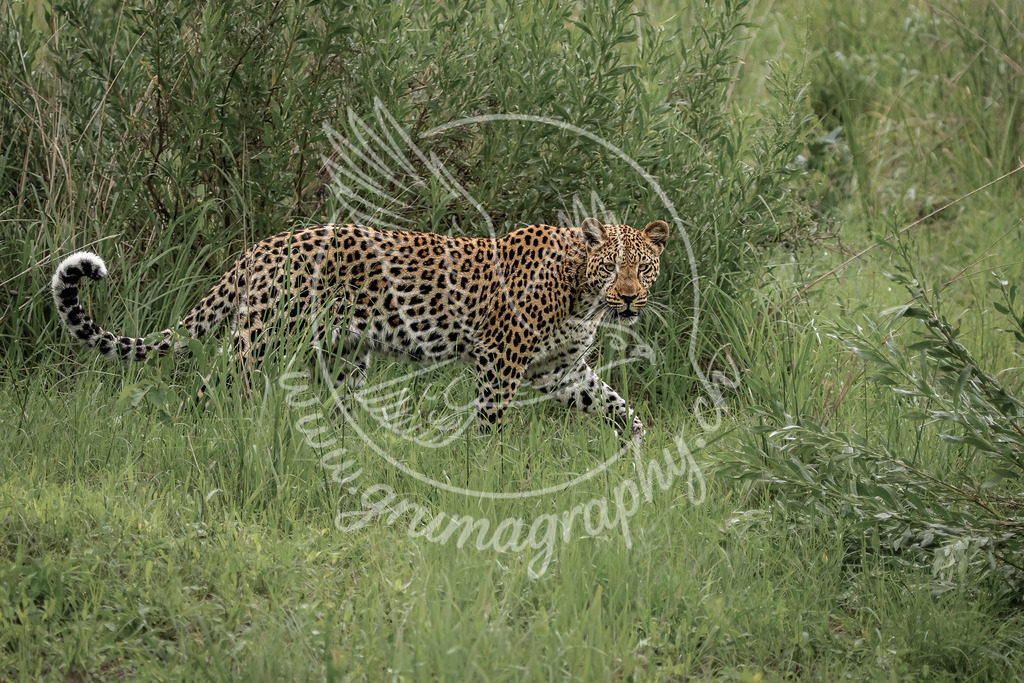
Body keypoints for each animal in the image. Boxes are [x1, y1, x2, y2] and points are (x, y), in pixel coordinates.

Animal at [51, 217, 669, 440]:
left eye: (644, 267)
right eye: (612, 266)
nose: (629, 296)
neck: (584, 298)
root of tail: (261, 246)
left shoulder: (559, 371)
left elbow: (617, 404)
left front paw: (635, 451)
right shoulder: (501, 360)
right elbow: (490, 422)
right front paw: (488, 466)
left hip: (344, 355)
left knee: (333, 408)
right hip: (262, 338)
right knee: (213, 388)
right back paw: (199, 437)